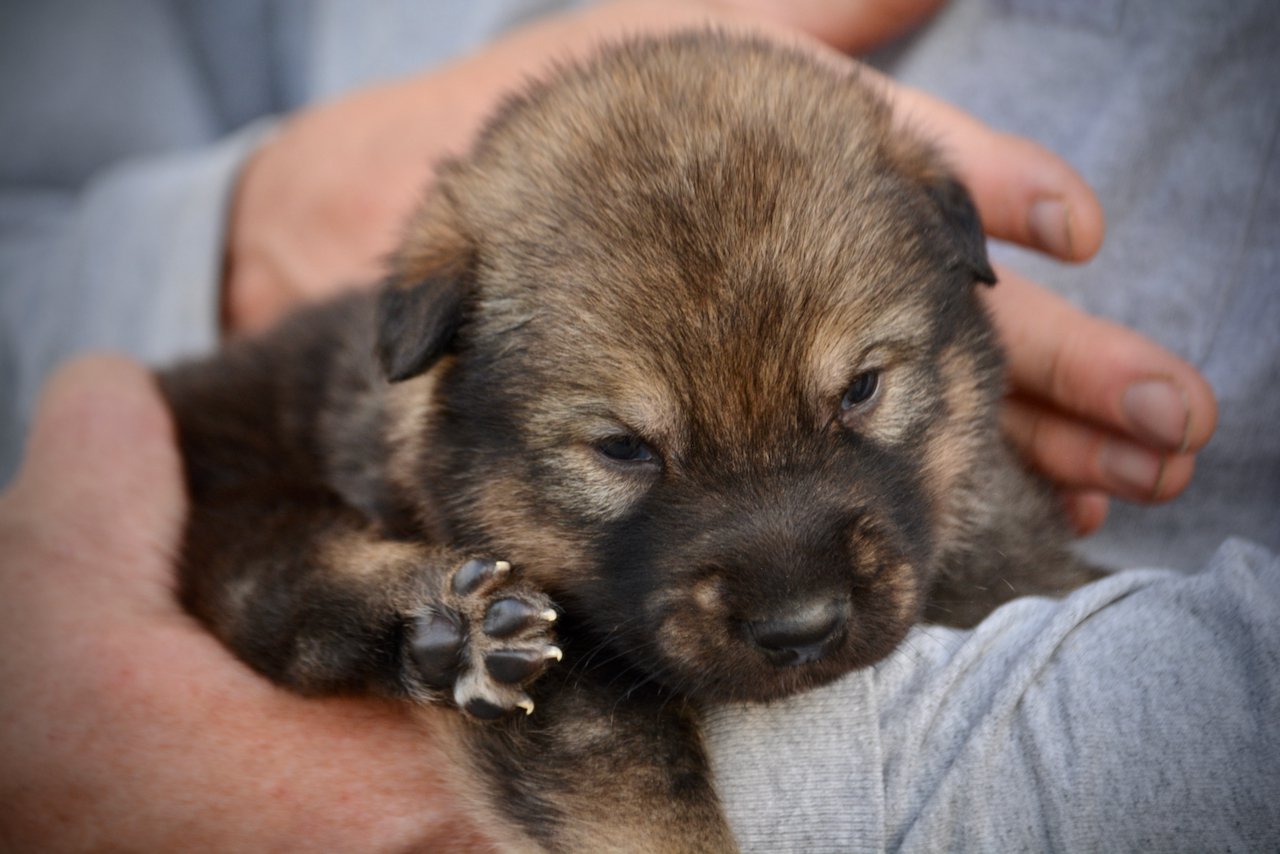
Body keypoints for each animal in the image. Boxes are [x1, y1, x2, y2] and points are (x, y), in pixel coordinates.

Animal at [160, 31, 1100, 854]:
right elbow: (639, 801)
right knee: (274, 579)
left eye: (861, 389)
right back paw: (443, 620)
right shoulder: (575, 686)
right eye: (622, 448)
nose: (799, 632)